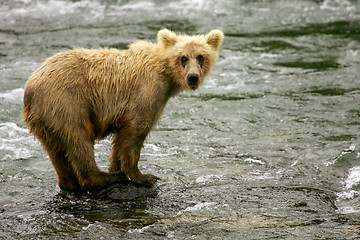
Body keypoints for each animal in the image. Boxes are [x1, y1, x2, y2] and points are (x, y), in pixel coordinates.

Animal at [23, 28, 222, 191]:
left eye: (201, 57)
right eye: (183, 58)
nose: (193, 77)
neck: (166, 75)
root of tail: (30, 87)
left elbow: (119, 139)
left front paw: (116, 166)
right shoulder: (147, 90)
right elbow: (135, 130)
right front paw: (143, 176)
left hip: (44, 120)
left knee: (56, 151)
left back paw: (69, 183)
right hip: (67, 102)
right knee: (78, 139)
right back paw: (104, 177)